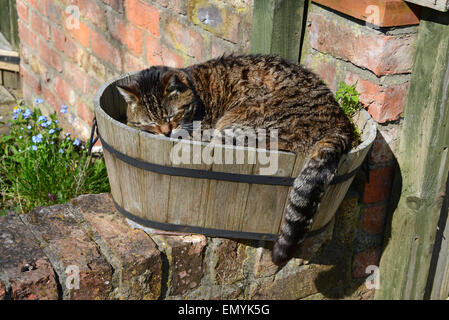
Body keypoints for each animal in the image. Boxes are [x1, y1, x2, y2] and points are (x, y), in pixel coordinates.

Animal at [116, 55, 354, 264]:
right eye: (151, 122)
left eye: (171, 116)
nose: (165, 133)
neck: (194, 88)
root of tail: (340, 122)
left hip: (243, 122)